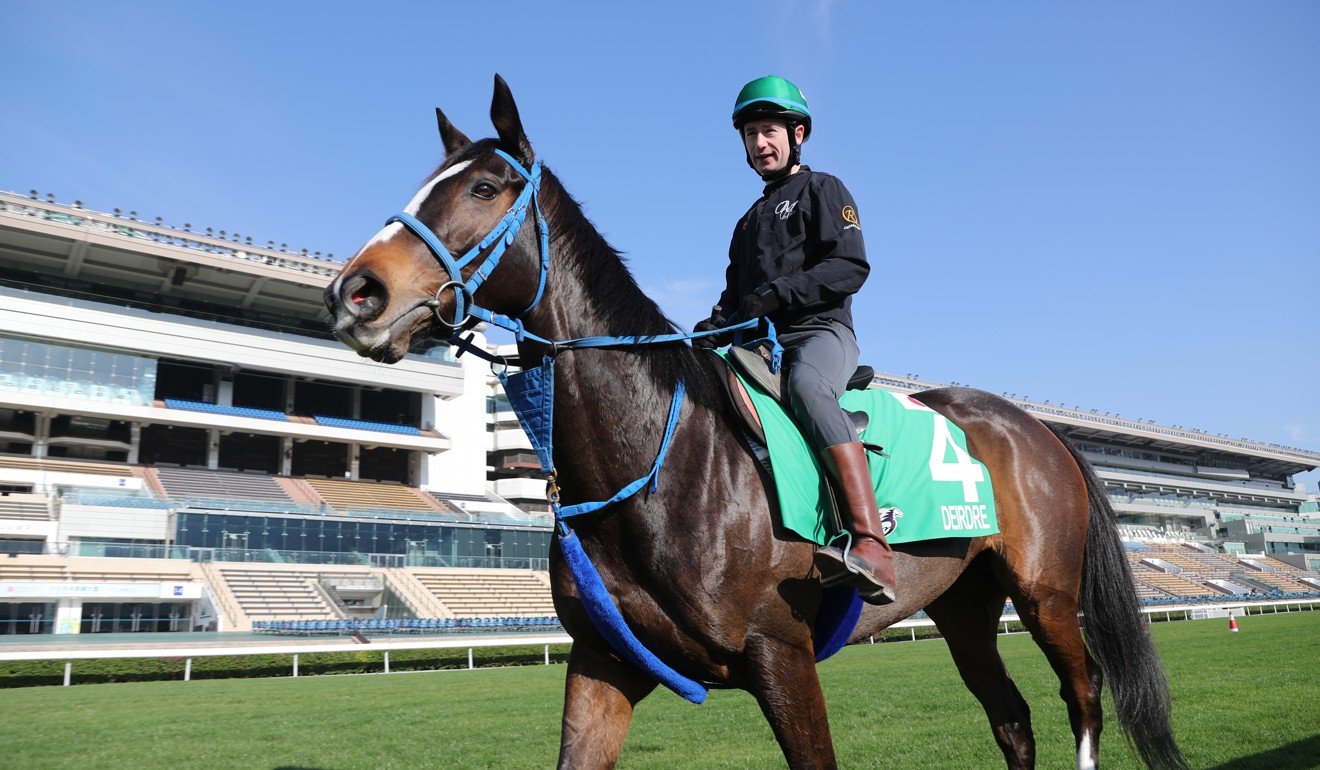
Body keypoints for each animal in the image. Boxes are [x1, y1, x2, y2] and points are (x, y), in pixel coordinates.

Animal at [322, 76, 1188, 770]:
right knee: (1011, 718)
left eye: (485, 188)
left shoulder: (783, 655)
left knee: (1084, 701)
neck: (661, 462)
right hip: (965, 605)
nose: (355, 292)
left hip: (1046, 597)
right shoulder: (603, 664)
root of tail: (1034, 427)